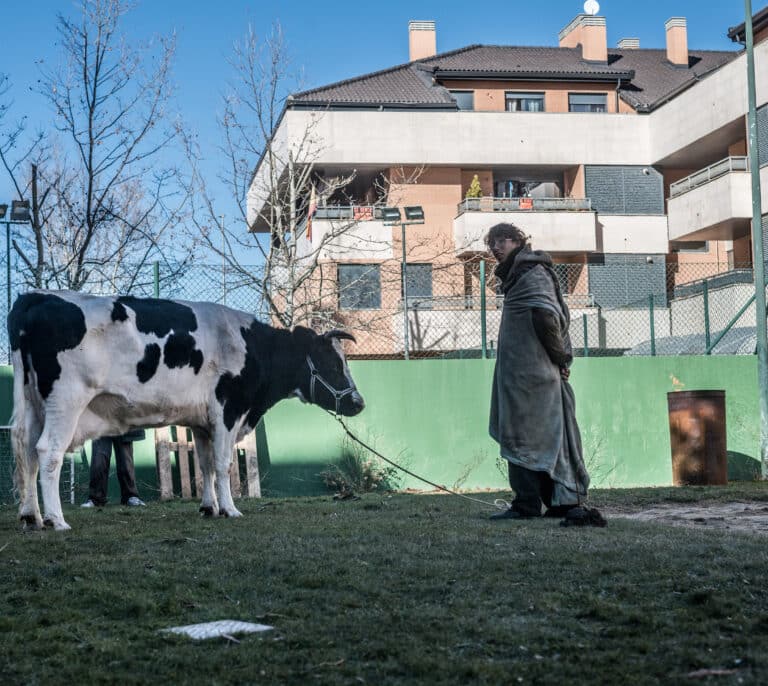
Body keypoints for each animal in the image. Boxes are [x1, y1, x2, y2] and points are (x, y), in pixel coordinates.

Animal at [8, 290, 364, 532]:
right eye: (335, 364)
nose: (358, 403)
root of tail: (35, 297)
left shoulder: (202, 422)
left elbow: (205, 465)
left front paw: (209, 508)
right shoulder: (227, 411)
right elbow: (222, 465)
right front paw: (230, 509)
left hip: (33, 405)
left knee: (27, 451)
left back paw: (30, 516)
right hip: (66, 402)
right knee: (48, 452)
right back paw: (56, 519)